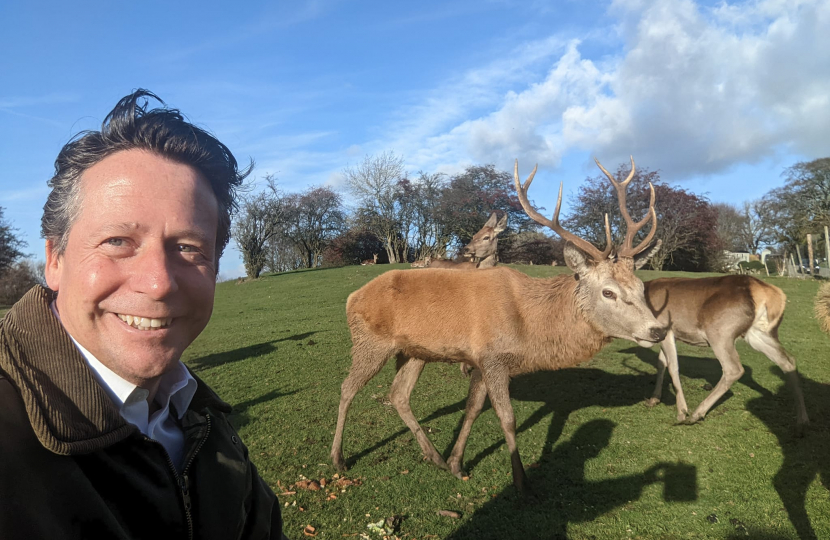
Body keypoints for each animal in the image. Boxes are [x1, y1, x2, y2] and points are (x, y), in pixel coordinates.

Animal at [332, 155, 668, 494]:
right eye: (608, 291)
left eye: (641, 287)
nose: (657, 330)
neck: (530, 328)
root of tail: (351, 298)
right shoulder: (494, 357)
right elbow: (507, 418)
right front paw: (521, 481)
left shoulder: (482, 361)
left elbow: (472, 409)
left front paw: (456, 464)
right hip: (370, 342)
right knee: (347, 388)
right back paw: (338, 458)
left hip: (415, 351)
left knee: (398, 395)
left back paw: (434, 456)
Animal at [644, 274, 812, 430]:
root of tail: (767, 291)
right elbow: (662, 363)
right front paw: (654, 399)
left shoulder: (666, 328)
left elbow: (673, 367)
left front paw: (681, 412)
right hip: (757, 333)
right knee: (788, 361)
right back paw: (802, 420)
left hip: (719, 332)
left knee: (734, 369)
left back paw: (696, 414)